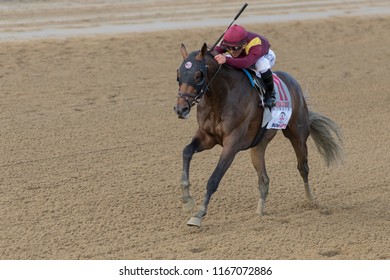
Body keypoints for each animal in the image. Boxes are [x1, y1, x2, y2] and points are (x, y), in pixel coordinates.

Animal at [174, 43, 344, 228]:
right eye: (178, 75)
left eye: (198, 75)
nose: (181, 109)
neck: (221, 97)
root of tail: (294, 84)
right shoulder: (206, 137)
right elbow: (186, 151)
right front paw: (186, 199)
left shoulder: (232, 145)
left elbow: (214, 179)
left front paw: (198, 215)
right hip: (258, 146)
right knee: (264, 179)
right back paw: (260, 212)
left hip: (297, 135)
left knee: (303, 168)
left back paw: (310, 200)